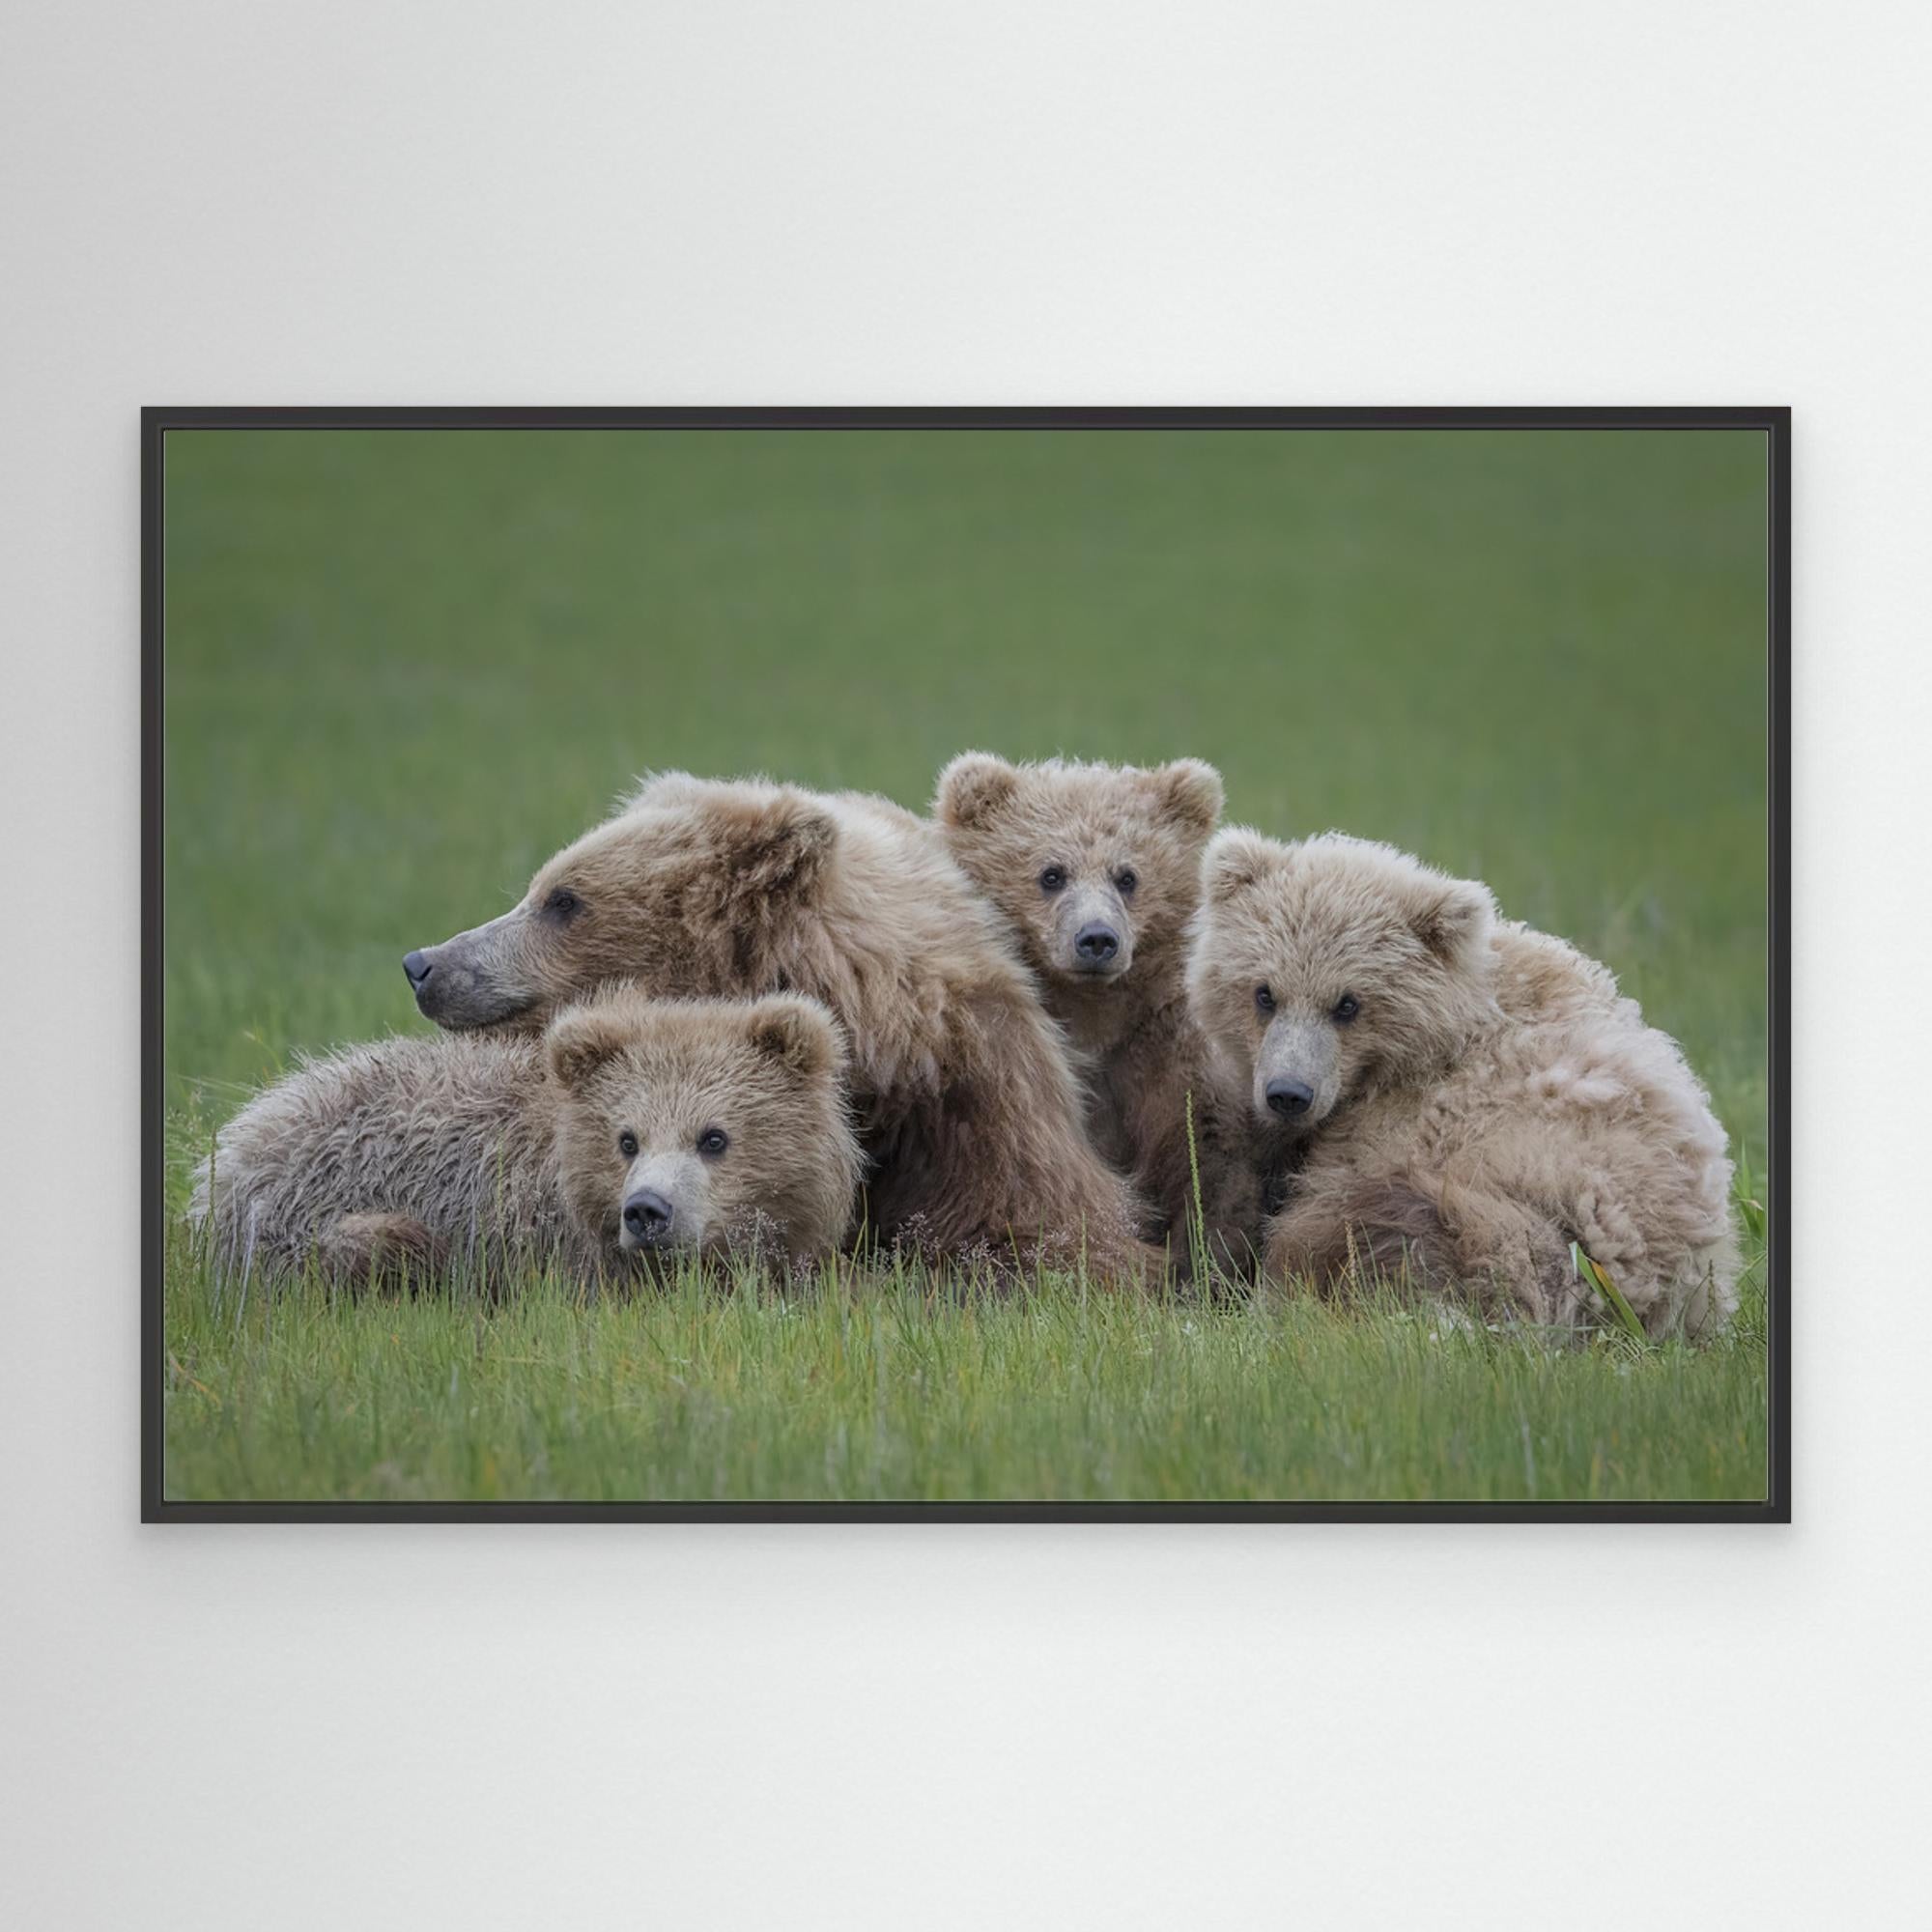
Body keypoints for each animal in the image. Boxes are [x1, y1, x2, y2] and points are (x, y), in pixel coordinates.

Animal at [934, 753, 1269, 1270]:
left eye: (1127, 876)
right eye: (1052, 873)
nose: (1096, 939)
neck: (1092, 1015)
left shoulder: (1160, 1049)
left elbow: (1205, 1152)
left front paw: (1203, 1257)